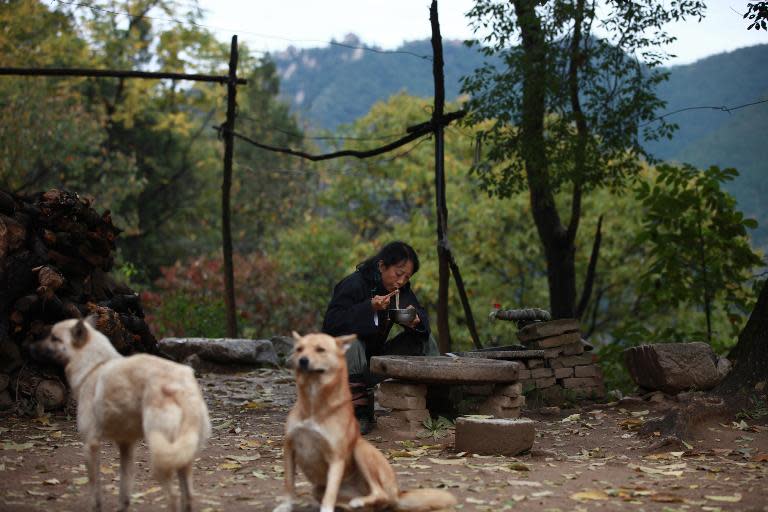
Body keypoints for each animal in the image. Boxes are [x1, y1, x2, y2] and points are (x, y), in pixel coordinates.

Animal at [32, 318, 210, 510]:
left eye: (54, 338)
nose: (30, 347)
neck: (93, 367)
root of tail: (180, 385)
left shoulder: (90, 445)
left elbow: (94, 489)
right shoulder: (126, 446)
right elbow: (124, 489)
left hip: (160, 453)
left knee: (173, 496)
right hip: (182, 456)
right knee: (188, 496)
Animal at [274, 332, 456, 512]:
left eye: (320, 349)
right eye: (299, 349)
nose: (302, 360)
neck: (313, 404)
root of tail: (398, 493)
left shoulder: (336, 458)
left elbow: (330, 493)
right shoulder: (289, 449)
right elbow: (289, 483)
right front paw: (285, 505)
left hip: (361, 450)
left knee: (380, 493)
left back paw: (360, 501)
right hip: (318, 489)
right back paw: (356, 504)